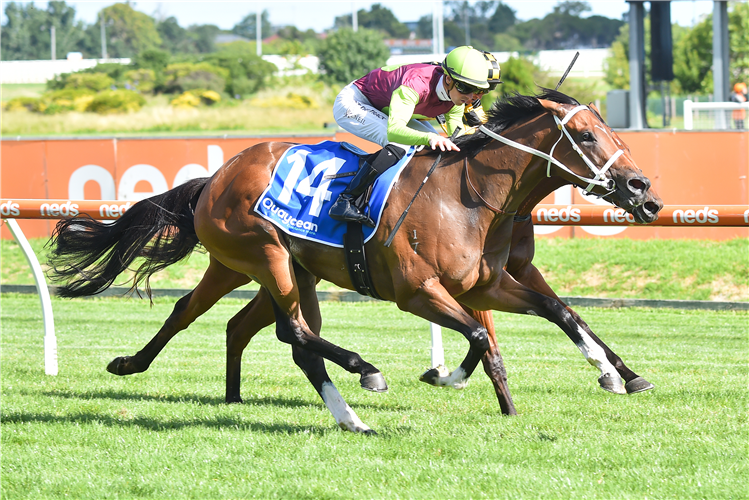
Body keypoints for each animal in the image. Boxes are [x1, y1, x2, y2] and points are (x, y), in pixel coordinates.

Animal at [49, 90, 660, 434]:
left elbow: (559, 313)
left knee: (225, 321)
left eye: (611, 131)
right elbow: (478, 337)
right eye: (585, 135)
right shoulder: (418, 292)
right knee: (293, 333)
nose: (643, 191)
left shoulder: (488, 285)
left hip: (270, 268)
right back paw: (363, 375)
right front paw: (445, 375)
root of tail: (217, 175)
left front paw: (611, 374)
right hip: (263, 254)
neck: (470, 196)